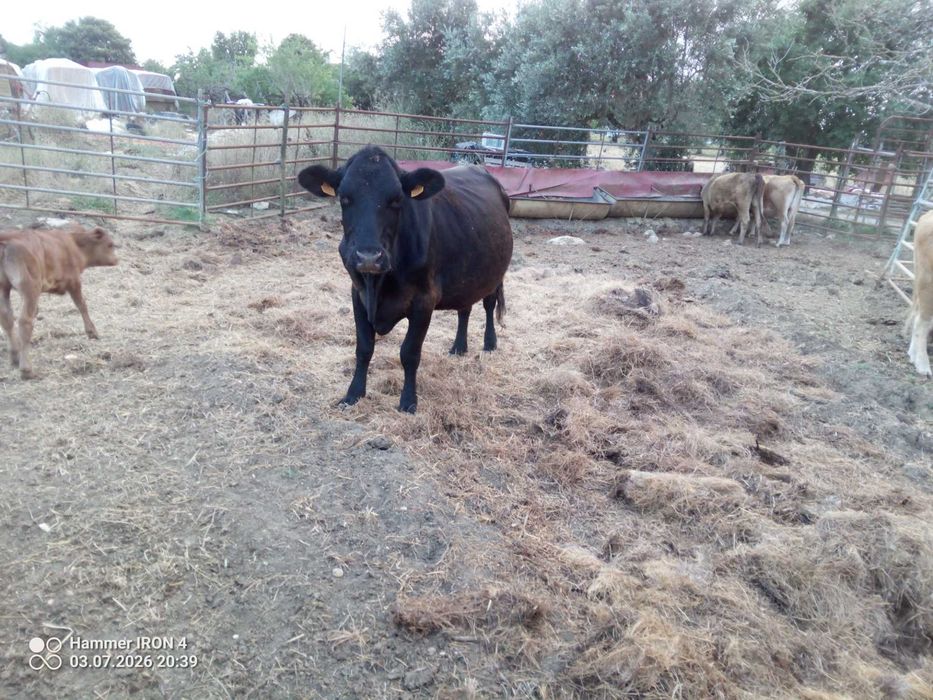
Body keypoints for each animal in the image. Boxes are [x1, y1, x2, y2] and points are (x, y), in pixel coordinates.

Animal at [0, 224, 118, 379]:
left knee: (6, 318)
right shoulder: (74, 281)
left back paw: (15, 357)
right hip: (30, 287)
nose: (116, 259)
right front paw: (92, 332)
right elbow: (82, 304)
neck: (73, 244)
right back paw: (27, 370)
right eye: (110, 244)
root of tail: (9, 238)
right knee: (24, 321)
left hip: (3, 287)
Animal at [298, 146, 513, 413]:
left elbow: (409, 353)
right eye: (344, 198)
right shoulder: (358, 294)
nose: (368, 257)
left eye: (397, 200)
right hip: (467, 275)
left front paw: (408, 401)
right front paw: (353, 394)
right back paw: (458, 347)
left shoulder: (424, 301)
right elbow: (364, 348)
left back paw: (490, 343)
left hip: (495, 273)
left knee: (489, 303)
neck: (380, 284)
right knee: (465, 308)